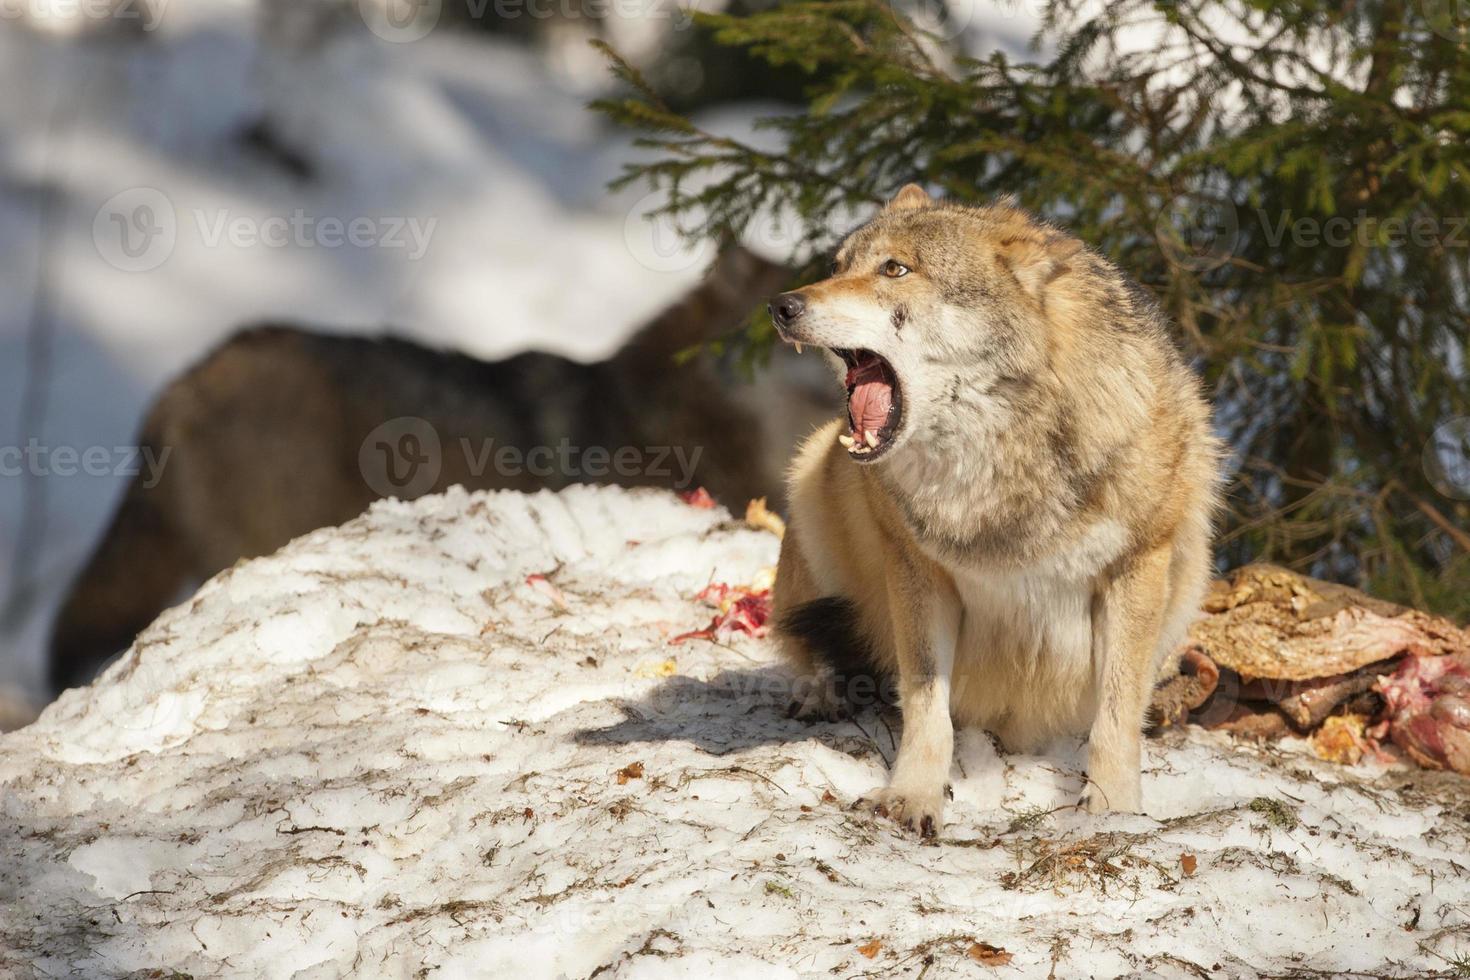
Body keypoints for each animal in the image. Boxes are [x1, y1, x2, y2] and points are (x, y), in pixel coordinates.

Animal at [770, 183, 1217, 834]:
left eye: (895, 269)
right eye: (838, 266)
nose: (781, 306)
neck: (1001, 462)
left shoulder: (1138, 564)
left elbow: (1115, 715)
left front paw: (1112, 810)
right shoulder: (916, 569)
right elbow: (926, 705)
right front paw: (911, 796)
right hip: (809, 475)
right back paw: (818, 691)